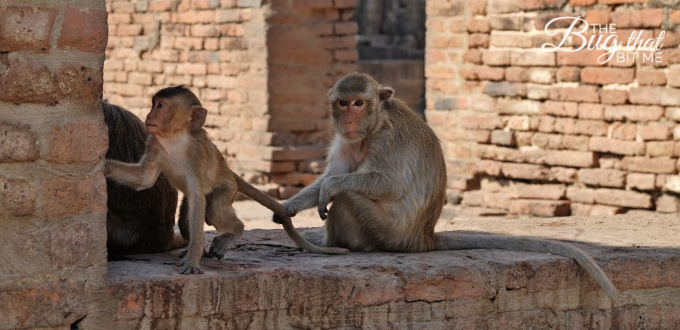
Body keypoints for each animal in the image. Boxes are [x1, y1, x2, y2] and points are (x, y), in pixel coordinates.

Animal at [106, 86, 350, 274]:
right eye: (153, 104)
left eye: (160, 106)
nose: (149, 116)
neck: (175, 139)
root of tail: (229, 172)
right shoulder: (154, 143)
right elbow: (143, 179)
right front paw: (105, 166)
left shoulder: (196, 156)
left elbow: (197, 198)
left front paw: (193, 261)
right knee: (187, 220)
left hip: (227, 189)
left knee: (212, 208)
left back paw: (230, 234)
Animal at [274, 73, 620, 300]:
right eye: (343, 103)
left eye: (359, 103)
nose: (348, 120)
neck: (370, 129)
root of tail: (424, 238)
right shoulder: (347, 141)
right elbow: (333, 175)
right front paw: (289, 206)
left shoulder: (387, 138)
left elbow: (385, 184)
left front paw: (329, 188)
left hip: (389, 235)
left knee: (348, 198)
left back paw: (337, 243)